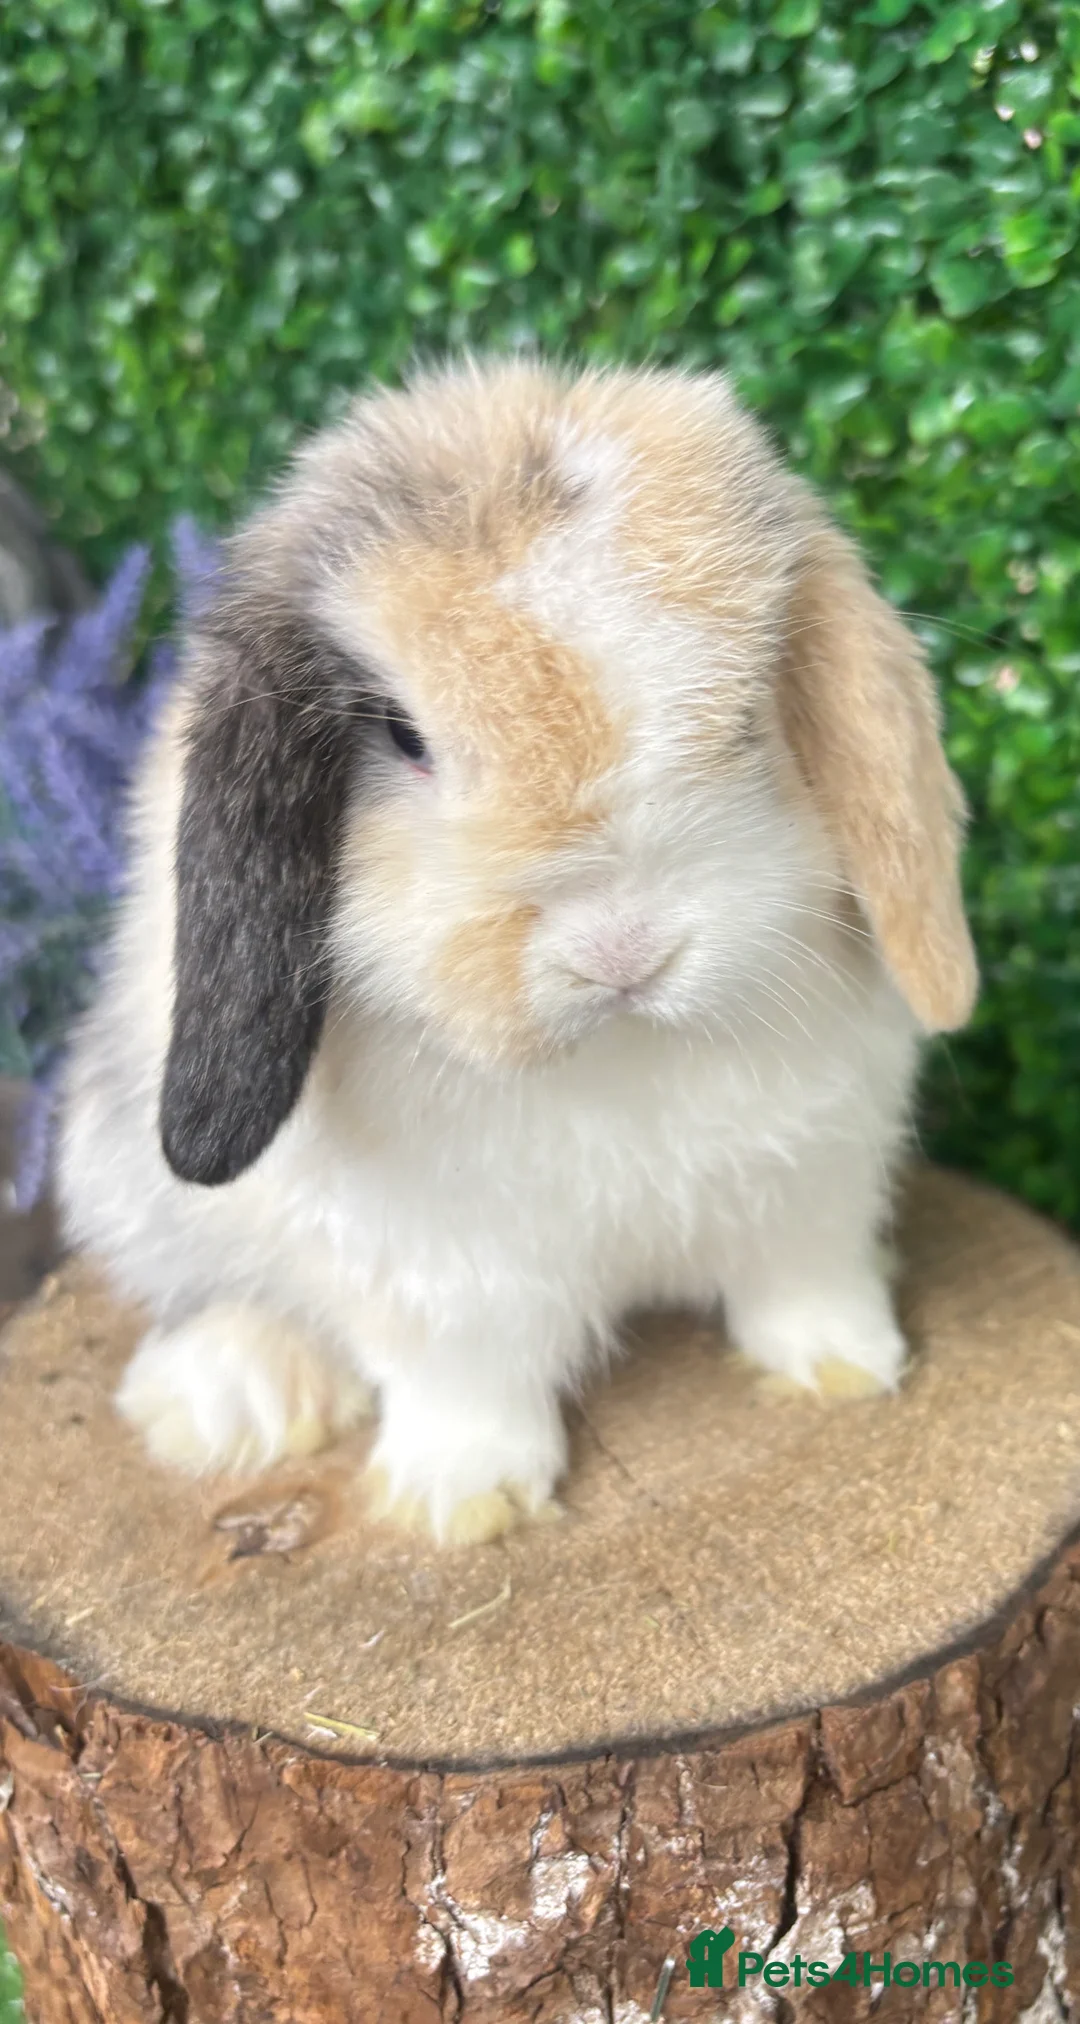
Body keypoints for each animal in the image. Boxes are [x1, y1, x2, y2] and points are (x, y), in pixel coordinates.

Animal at [56, 356, 977, 1545]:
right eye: (401, 735)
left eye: (743, 718)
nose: (623, 951)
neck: (619, 1059)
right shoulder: (440, 1277)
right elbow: (467, 1381)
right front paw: (458, 1502)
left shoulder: (812, 1183)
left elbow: (804, 1281)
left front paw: (848, 1368)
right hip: (128, 1178)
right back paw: (236, 1394)